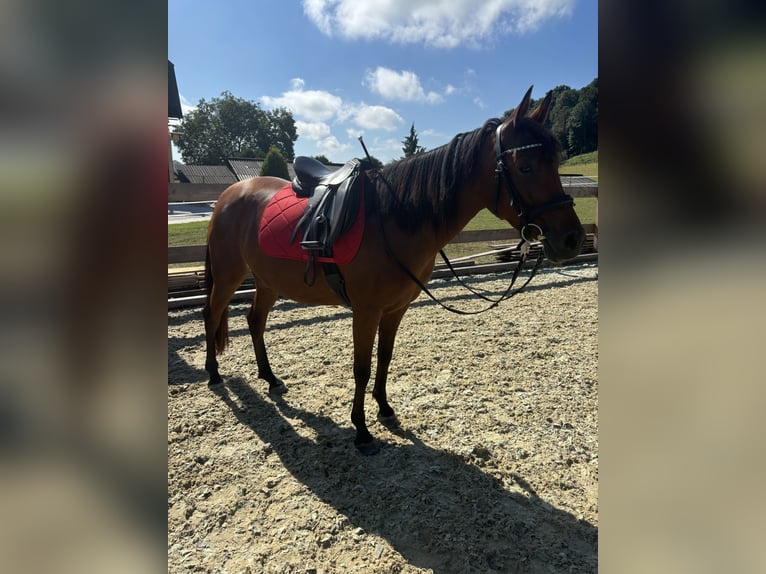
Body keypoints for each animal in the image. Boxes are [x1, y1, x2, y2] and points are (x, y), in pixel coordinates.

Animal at [201, 86, 584, 454]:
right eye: (525, 167)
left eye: (555, 162)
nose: (572, 239)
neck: (393, 218)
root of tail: (230, 194)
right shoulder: (366, 311)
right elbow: (361, 367)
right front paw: (361, 430)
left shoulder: (395, 309)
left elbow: (384, 358)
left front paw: (384, 409)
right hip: (229, 274)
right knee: (212, 313)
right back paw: (213, 374)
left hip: (267, 280)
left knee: (255, 321)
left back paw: (269, 377)